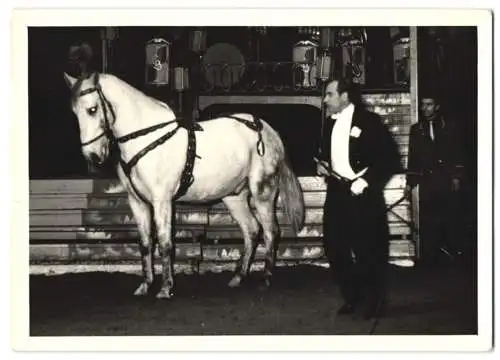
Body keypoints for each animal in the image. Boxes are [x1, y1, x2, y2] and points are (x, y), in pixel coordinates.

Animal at [62, 71, 304, 300]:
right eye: (74, 112)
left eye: (92, 109)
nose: (93, 156)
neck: (146, 137)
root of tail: (267, 129)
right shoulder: (137, 202)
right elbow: (145, 243)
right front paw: (145, 285)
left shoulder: (162, 200)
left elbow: (164, 242)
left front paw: (165, 289)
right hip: (234, 197)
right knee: (251, 230)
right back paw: (238, 277)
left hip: (263, 192)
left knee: (271, 231)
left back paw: (265, 279)